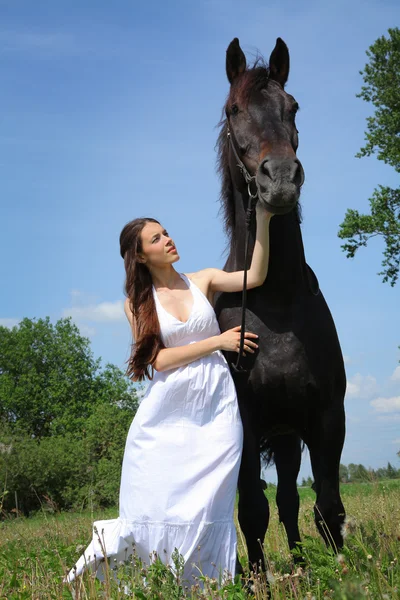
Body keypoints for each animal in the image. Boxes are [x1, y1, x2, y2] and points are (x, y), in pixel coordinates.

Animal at [212, 37, 346, 572]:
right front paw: (256, 582)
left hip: (290, 438)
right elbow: (252, 510)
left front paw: (343, 574)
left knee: (291, 499)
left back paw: (303, 565)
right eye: (233, 109)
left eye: (293, 106)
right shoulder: (247, 426)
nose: (282, 178)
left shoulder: (327, 418)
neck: (276, 303)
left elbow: (327, 509)